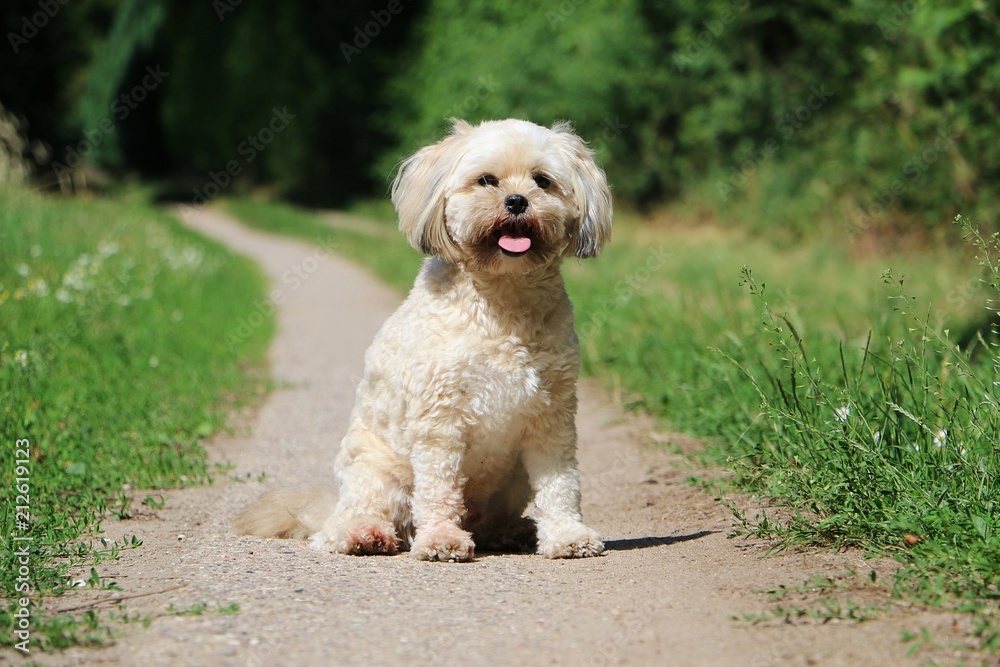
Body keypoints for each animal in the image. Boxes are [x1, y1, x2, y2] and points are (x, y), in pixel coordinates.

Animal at [236, 117, 608, 560]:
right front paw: (441, 538)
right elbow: (439, 488)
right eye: (486, 180)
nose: (517, 201)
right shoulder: (439, 418)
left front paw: (568, 535)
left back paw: (512, 530)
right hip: (376, 472)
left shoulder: (553, 416)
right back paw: (365, 534)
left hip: (513, 477)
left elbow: (560, 484)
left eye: (543, 181)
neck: (503, 302)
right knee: (345, 526)